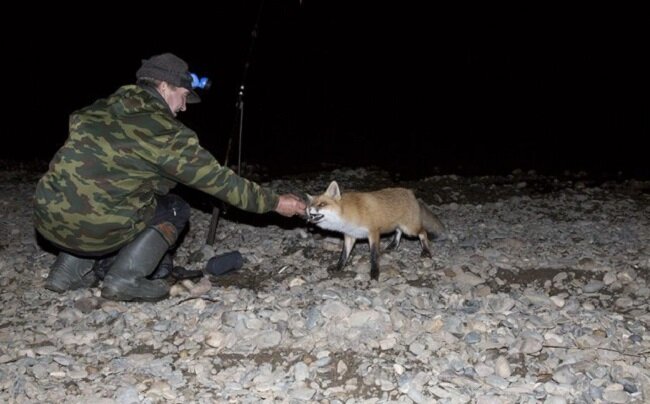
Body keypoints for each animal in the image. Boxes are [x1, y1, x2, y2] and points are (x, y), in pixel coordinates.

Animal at [306, 181, 442, 280]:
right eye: (310, 205)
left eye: (322, 204)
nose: (308, 210)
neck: (349, 213)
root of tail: (410, 192)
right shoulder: (350, 236)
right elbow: (343, 256)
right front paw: (338, 268)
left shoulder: (374, 233)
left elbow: (374, 256)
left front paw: (374, 274)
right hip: (401, 226)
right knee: (398, 231)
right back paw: (393, 245)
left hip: (410, 229)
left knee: (423, 232)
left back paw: (426, 251)